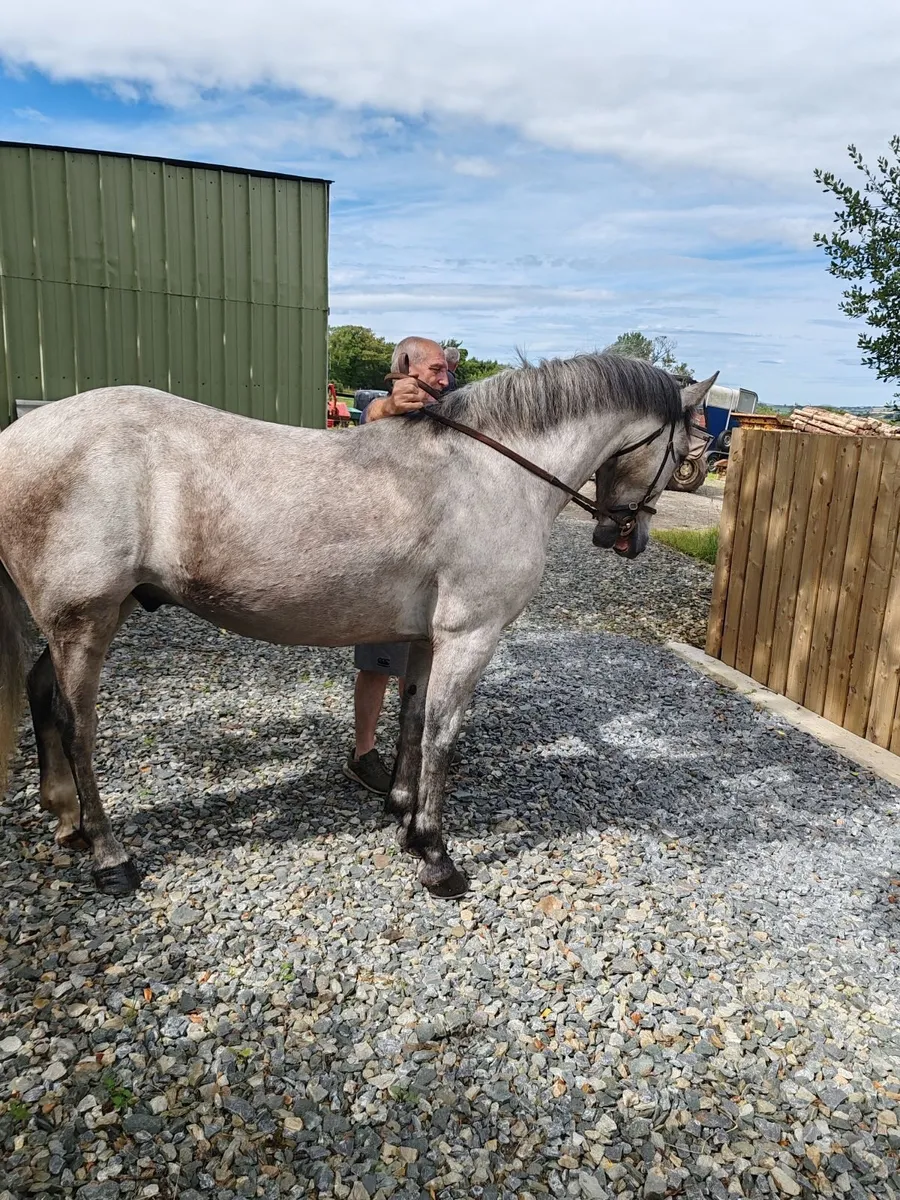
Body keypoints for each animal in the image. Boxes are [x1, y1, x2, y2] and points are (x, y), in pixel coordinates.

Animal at [0, 354, 717, 899]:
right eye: (685, 448)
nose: (628, 538)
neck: (489, 472)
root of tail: (21, 436)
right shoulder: (470, 636)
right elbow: (443, 735)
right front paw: (435, 854)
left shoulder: (427, 638)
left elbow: (413, 717)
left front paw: (401, 811)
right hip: (85, 621)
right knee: (77, 726)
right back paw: (110, 857)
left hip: (92, 618)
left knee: (42, 693)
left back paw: (67, 820)